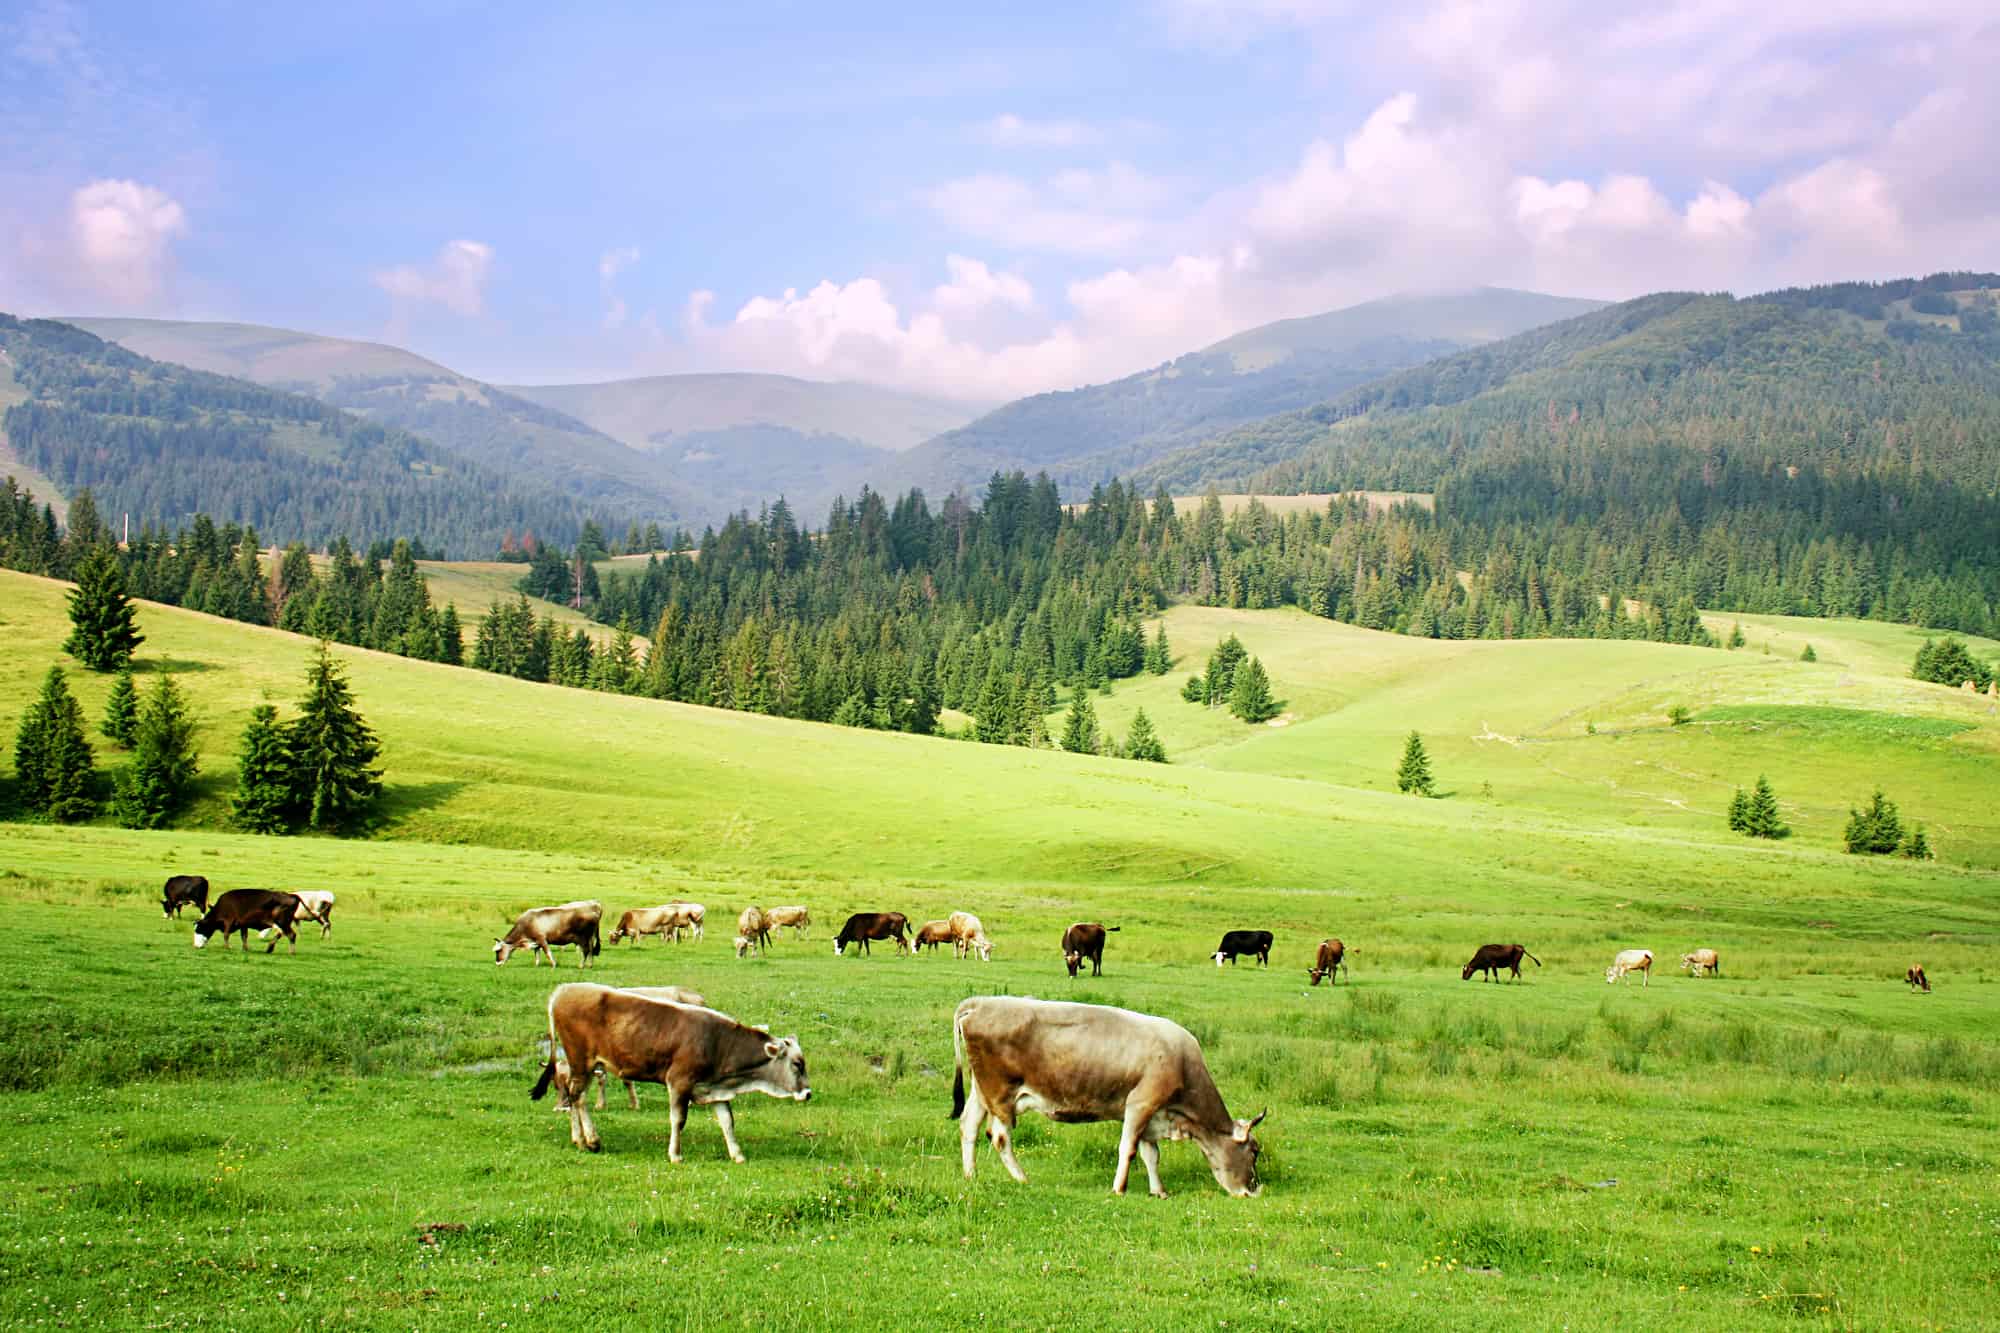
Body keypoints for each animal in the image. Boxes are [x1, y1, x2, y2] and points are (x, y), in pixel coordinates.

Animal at [536, 980, 816, 1160]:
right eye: (796, 1064)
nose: (808, 1093)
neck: (718, 1041)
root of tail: (562, 990)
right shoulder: (679, 1082)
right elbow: (678, 1119)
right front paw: (675, 1154)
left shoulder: (713, 1087)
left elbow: (727, 1121)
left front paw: (737, 1154)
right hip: (581, 1062)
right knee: (578, 1097)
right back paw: (591, 1141)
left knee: (574, 1096)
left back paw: (579, 1139)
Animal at [952, 992, 1264, 1200]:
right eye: (1255, 1151)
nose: (1253, 1190)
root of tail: (978, 1003)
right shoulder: (1141, 1103)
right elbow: (1128, 1148)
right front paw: (1119, 1188)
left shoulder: (1151, 1114)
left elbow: (1151, 1154)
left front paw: (1158, 1191)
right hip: (1001, 1095)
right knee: (999, 1137)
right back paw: (1022, 1178)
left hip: (982, 1090)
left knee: (969, 1126)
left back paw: (970, 1175)